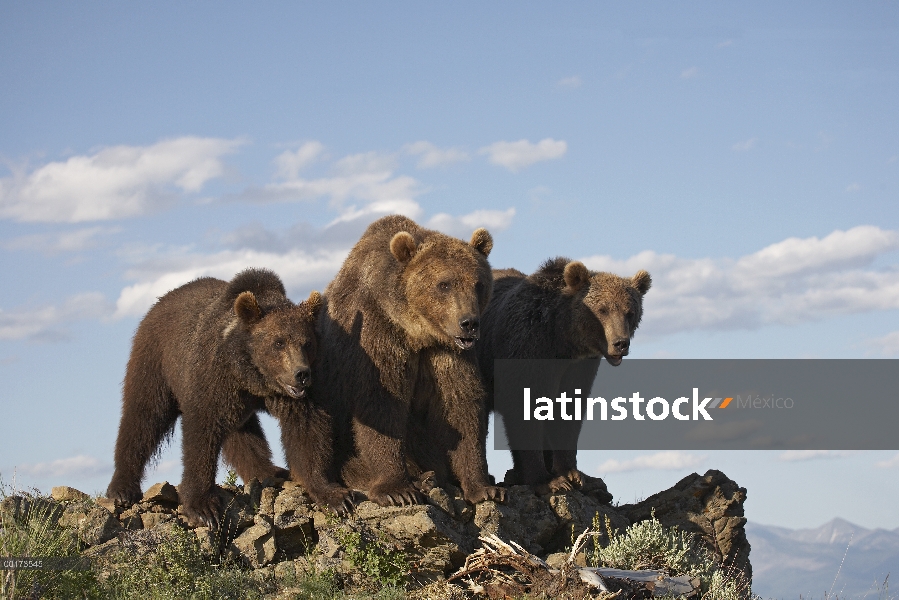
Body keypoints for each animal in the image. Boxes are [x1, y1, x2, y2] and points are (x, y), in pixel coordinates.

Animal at [107, 268, 354, 524]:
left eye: (307, 343)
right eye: (278, 342)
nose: (301, 374)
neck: (252, 376)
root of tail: (162, 300)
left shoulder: (291, 397)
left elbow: (307, 430)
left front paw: (334, 496)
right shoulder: (213, 378)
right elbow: (201, 432)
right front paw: (203, 507)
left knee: (242, 433)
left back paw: (269, 471)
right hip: (154, 360)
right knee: (143, 416)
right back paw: (122, 488)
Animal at [318, 214, 506, 506]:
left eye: (479, 284)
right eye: (444, 284)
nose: (469, 324)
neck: (416, 332)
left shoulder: (446, 352)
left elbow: (460, 405)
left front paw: (483, 487)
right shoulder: (377, 333)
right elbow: (381, 402)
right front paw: (397, 490)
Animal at [478, 258, 652, 496]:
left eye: (630, 312)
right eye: (603, 309)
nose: (620, 343)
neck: (562, 339)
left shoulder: (579, 367)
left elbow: (568, 411)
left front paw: (574, 474)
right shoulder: (528, 350)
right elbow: (524, 410)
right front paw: (547, 480)